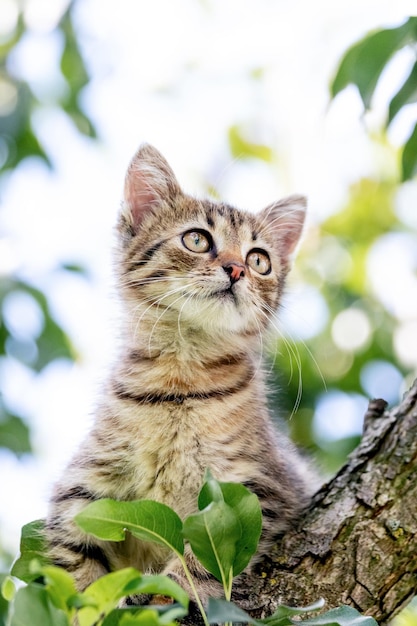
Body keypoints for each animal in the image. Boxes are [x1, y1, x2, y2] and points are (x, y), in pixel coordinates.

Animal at [45, 144, 312, 604]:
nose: (237, 269)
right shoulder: (82, 490)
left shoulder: (258, 487)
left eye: (259, 260)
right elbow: (72, 566)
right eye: (197, 239)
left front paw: (174, 590)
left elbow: (208, 557)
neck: (180, 381)